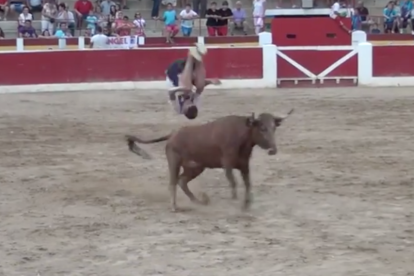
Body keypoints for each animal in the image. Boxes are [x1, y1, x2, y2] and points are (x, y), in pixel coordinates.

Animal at [124, 109, 292, 212]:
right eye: (262, 128)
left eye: (274, 128)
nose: (273, 150)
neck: (242, 136)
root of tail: (172, 134)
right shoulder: (227, 164)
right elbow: (233, 182)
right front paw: (235, 201)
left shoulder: (244, 165)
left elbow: (247, 183)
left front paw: (246, 204)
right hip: (174, 162)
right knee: (172, 183)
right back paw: (174, 206)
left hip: (195, 167)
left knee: (182, 181)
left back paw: (198, 201)